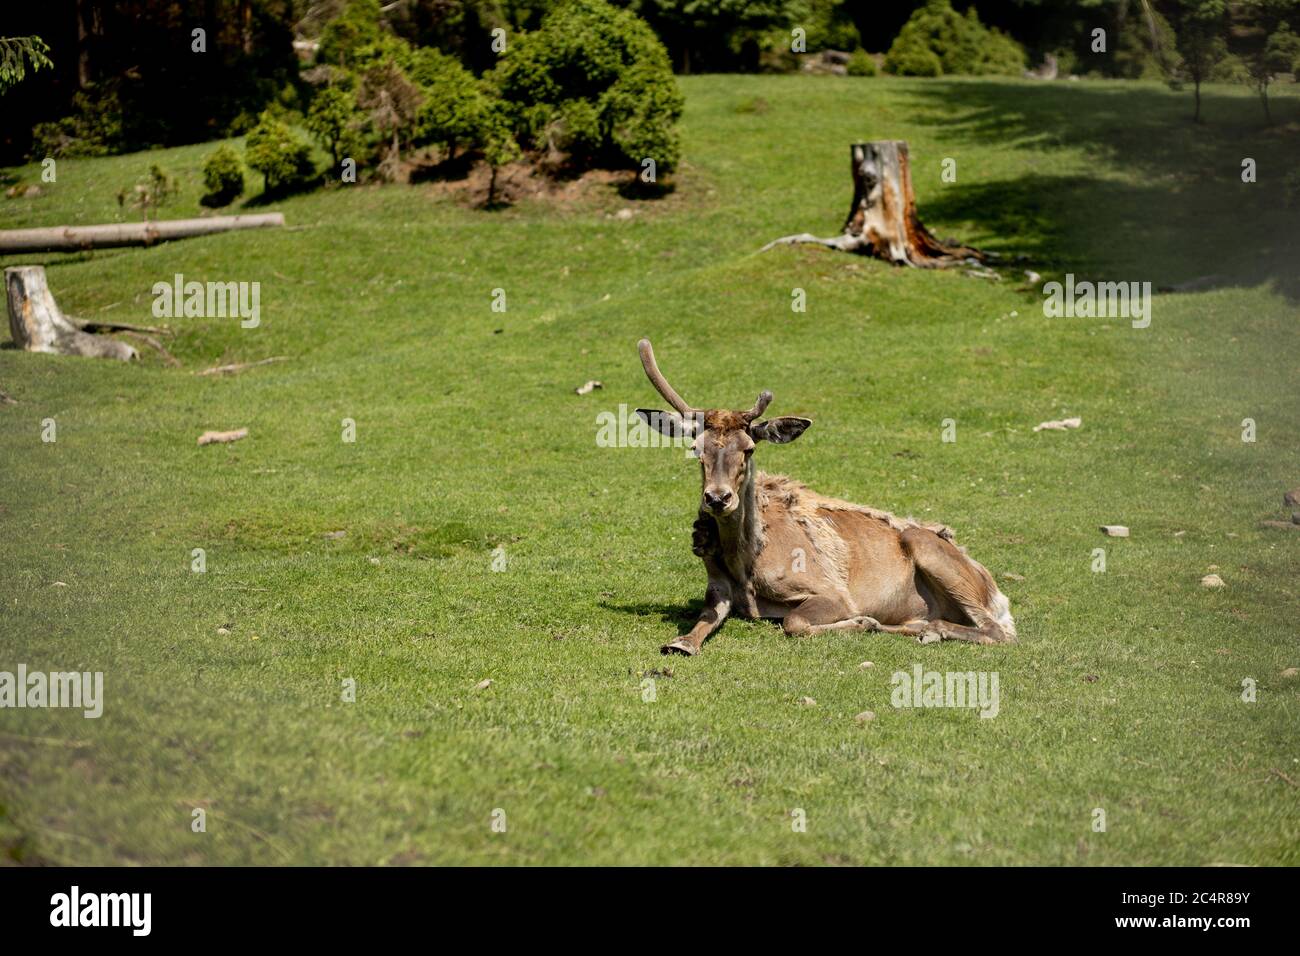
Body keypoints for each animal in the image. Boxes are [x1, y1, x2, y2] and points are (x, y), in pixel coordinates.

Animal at [634, 339, 1017, 656]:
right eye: (696, 449)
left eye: (749, 448)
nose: (717, 498)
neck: (746, 568)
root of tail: (995, 591)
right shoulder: (717, 585)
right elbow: (702, 621)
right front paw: (680, 643)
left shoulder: (831, 591)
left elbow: (795, 622)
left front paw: (861, 621)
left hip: (933, 553)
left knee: (1000, 631)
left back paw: (928, 629)